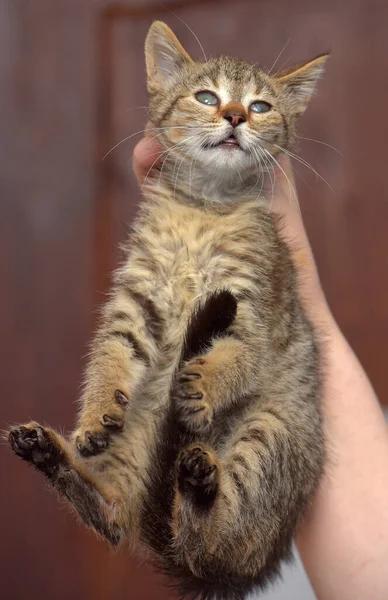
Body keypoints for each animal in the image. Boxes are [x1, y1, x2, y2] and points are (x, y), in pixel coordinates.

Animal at [7, 21, 328, 600]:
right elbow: (110, 356)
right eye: (207, 97)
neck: (204, 209)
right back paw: (53, 457)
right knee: (118, 521)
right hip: (134, 445)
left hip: (268, 438)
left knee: (203, 542)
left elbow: (239, 357)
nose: (235, 116)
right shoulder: (135, 299)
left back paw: (198, 485)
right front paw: (93, 414)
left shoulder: (254, 308)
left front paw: (204, 383)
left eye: (261, 106)